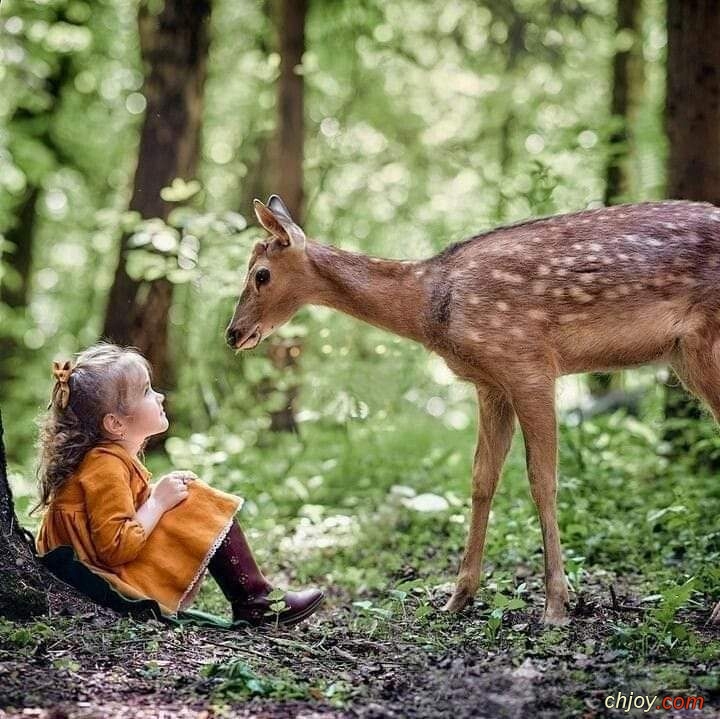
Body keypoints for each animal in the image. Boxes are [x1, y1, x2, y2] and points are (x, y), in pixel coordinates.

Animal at [225, 195, 720, 624]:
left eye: (261, 274)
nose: (232, 333)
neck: (431, 308)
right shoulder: (490, 383)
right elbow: (483, 478)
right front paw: (457, 597)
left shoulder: (529, 363)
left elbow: (542, 481)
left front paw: (555, 606)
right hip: (684, 358)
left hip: (706, 347)